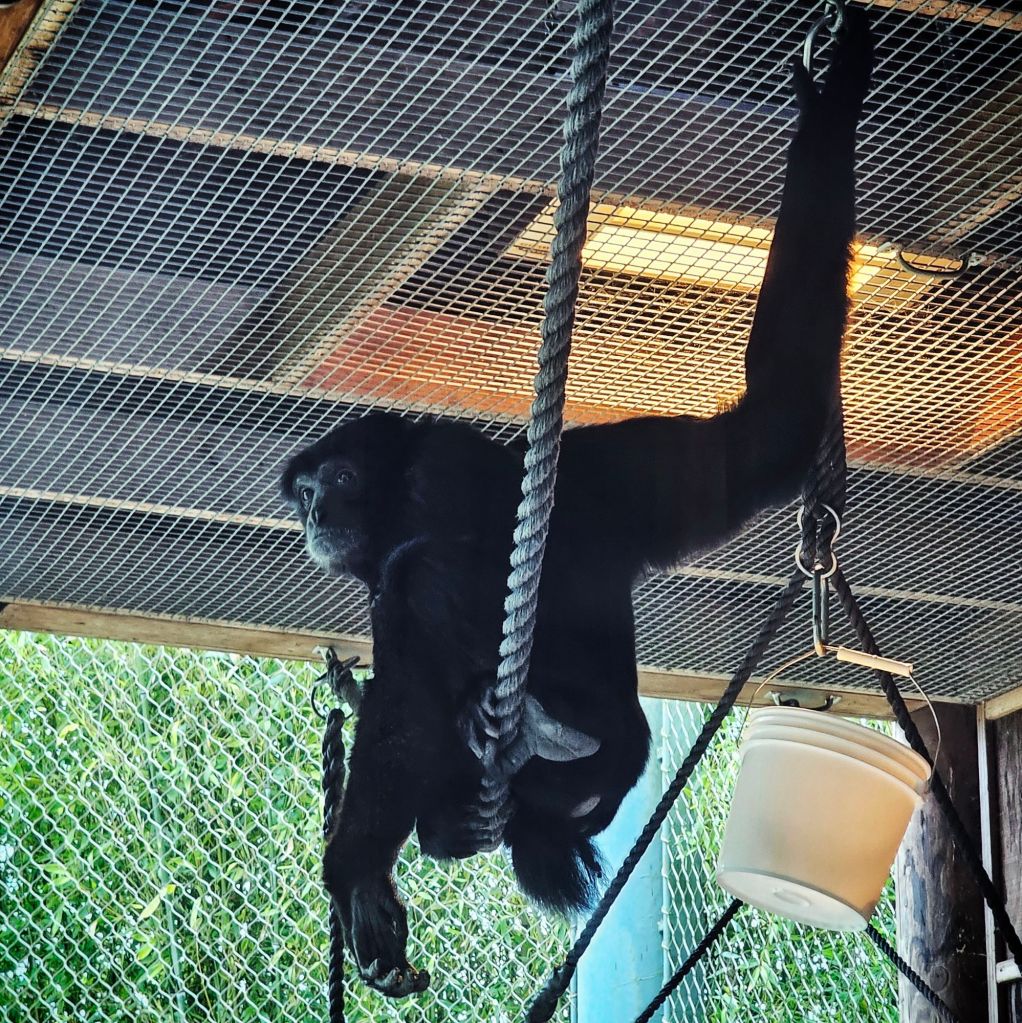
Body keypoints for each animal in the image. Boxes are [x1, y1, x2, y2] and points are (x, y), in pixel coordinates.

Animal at [280, 11, 873, 999]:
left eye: (344, 482)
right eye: (306, 498)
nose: (317, 511)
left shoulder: (440, 472)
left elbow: (419, 625)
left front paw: (357, 874)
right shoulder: (622, 475)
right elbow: (766, 431)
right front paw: (833, 100)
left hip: (605, 742)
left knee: (426, 588)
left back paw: (529, 737)